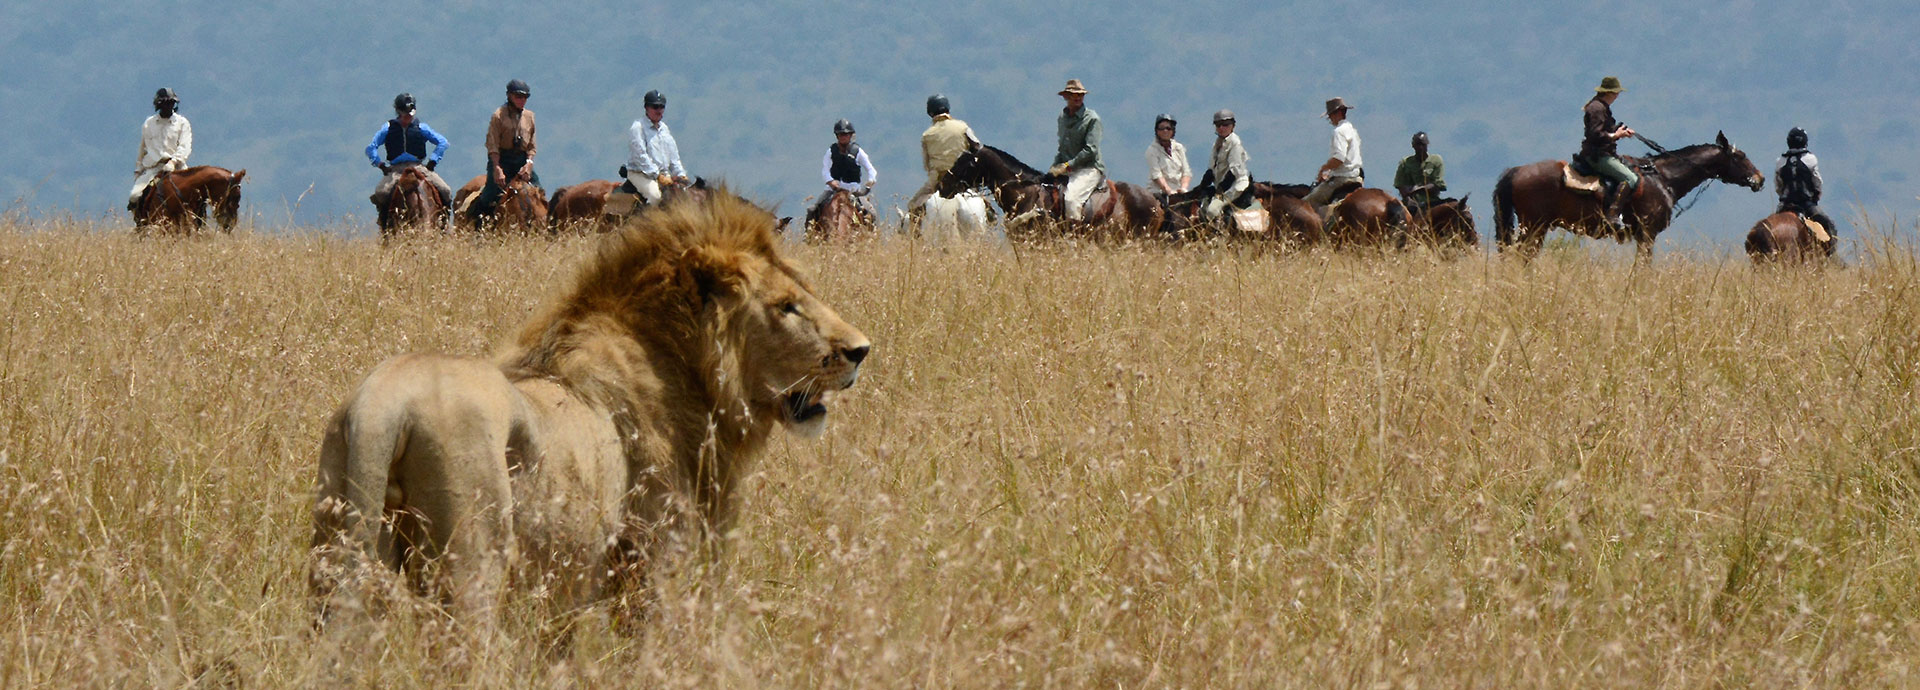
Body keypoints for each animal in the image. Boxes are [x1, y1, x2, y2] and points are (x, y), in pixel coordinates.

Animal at [308, 192, 871, 630]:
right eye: (786, 306)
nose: (861, 350)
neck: (692, 375)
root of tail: (382, 406)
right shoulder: (655, 557)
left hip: (335, 554)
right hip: (469, 564)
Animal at [1493, 131, 1765, 261]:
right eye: (1740, 156)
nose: (1760, 179)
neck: (1664, 178)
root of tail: (1515, 171)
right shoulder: (1647, 234)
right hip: (1534, 227)